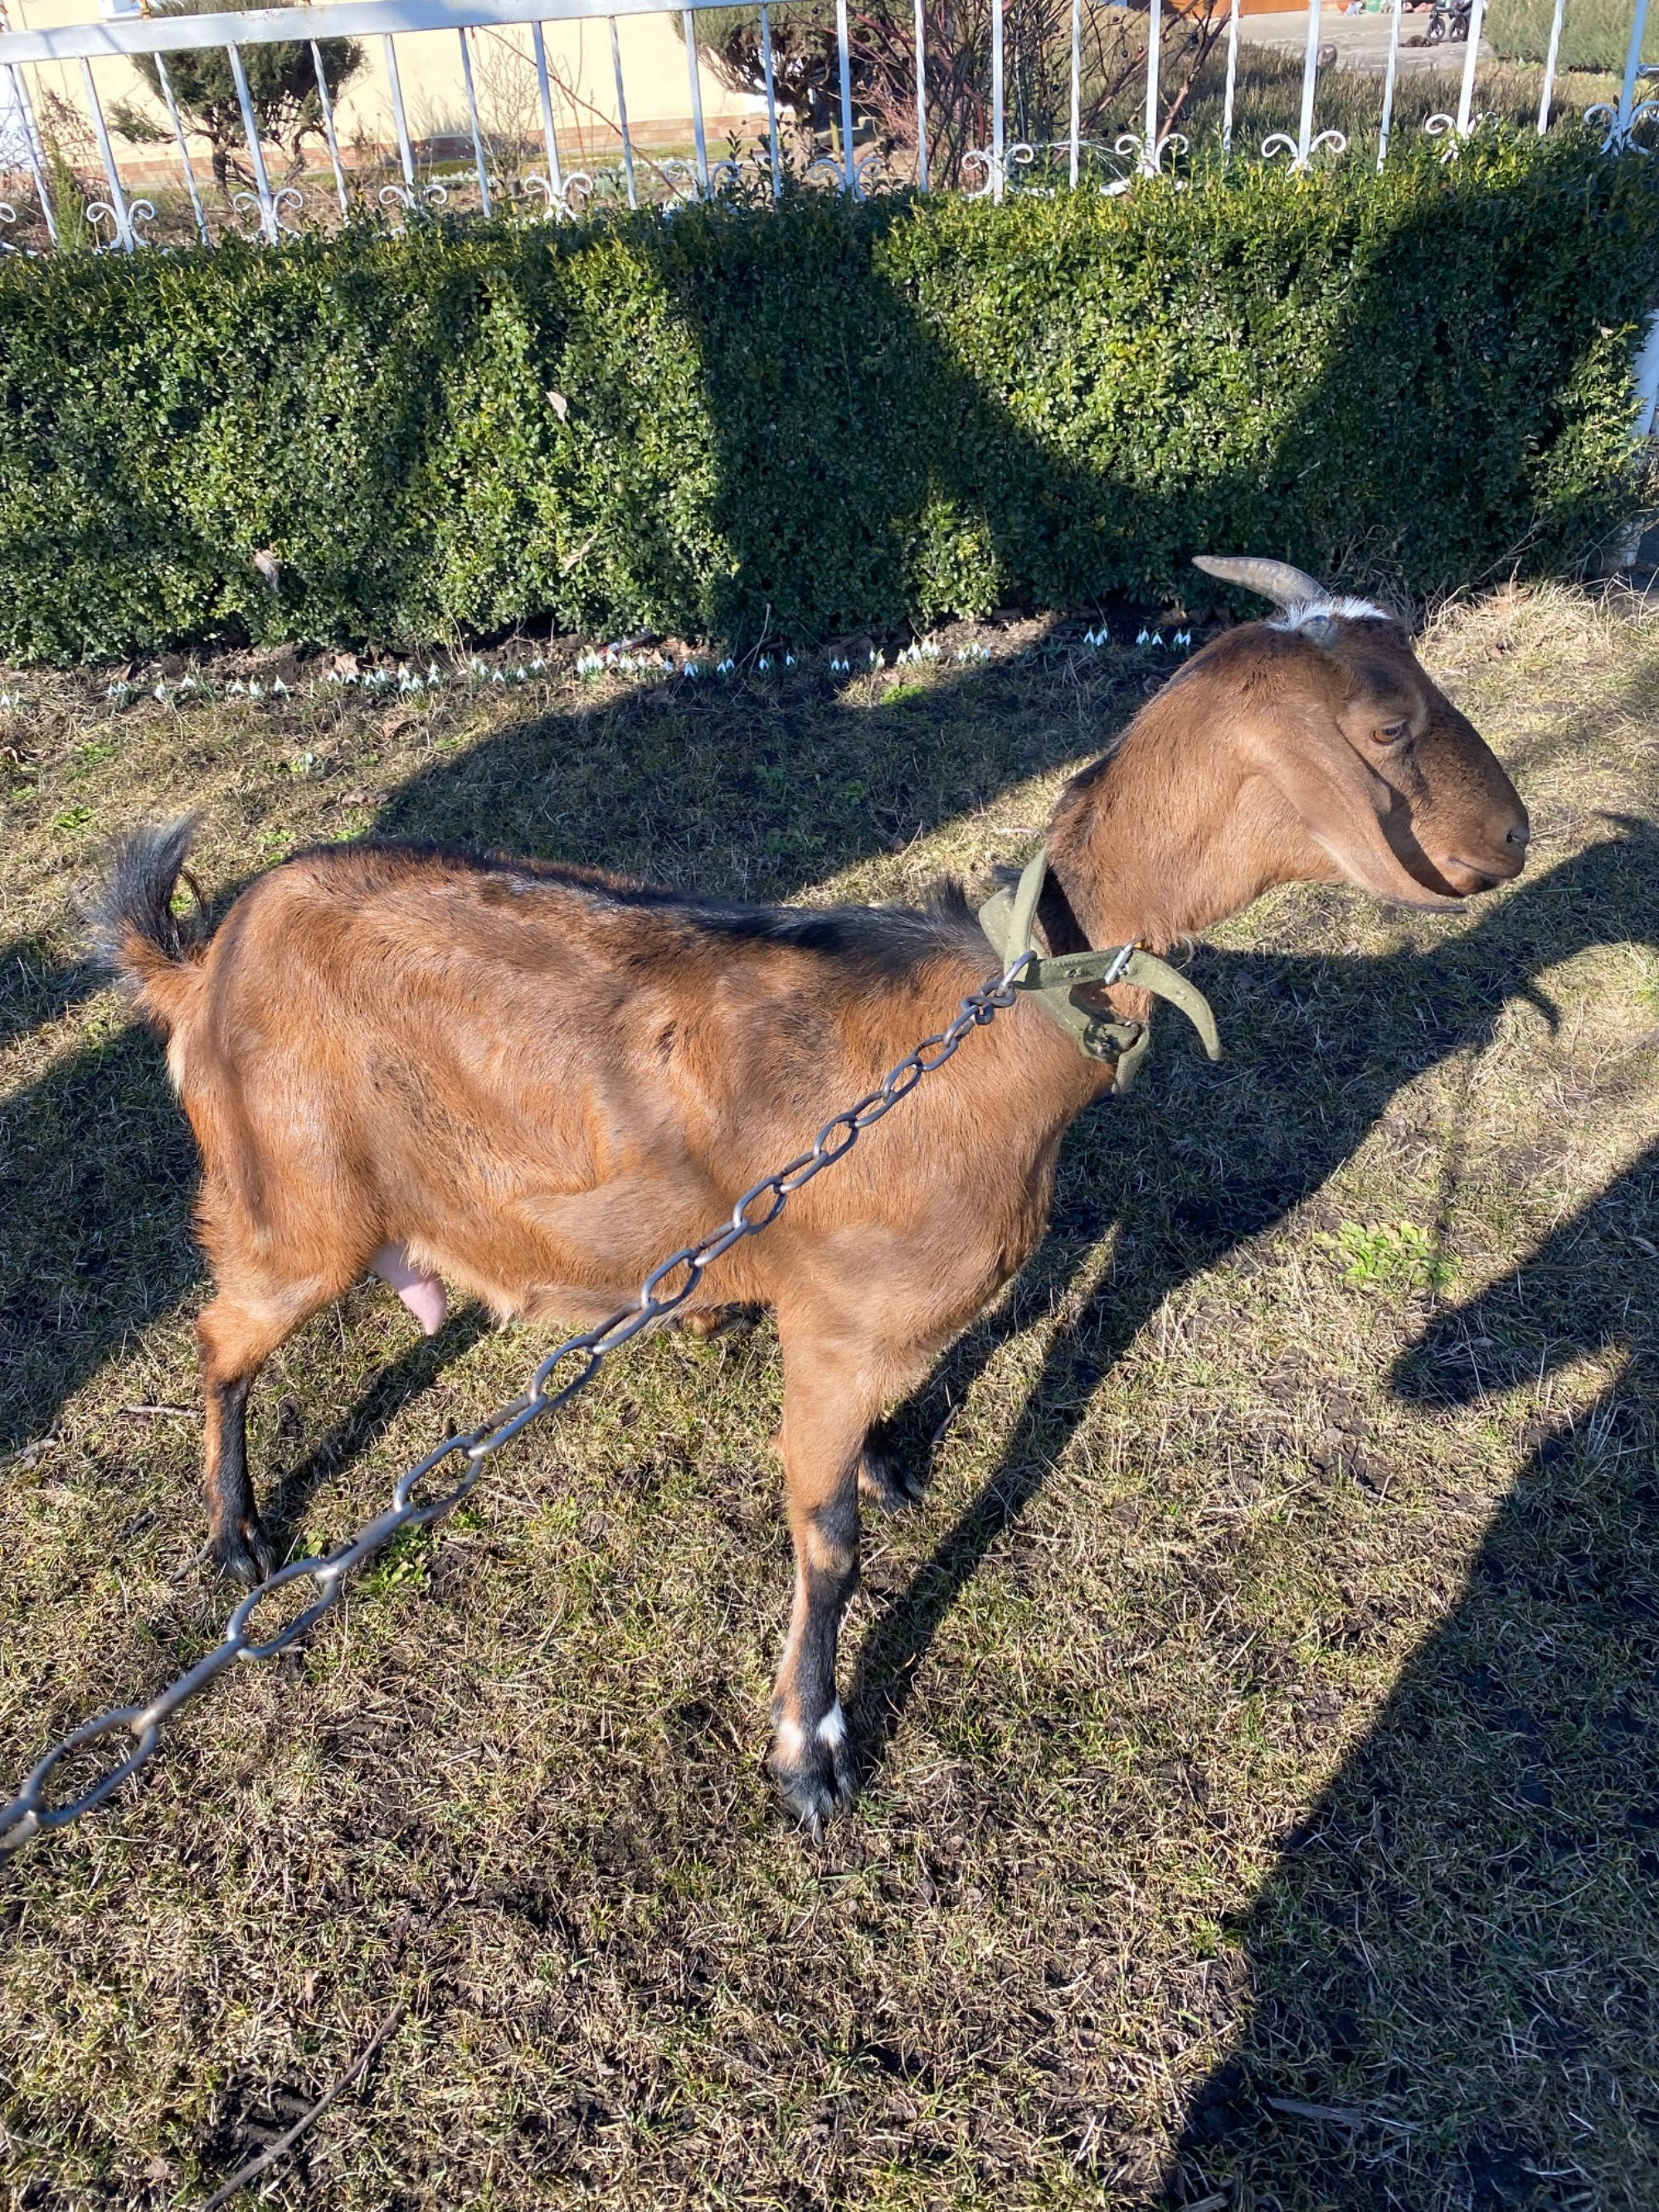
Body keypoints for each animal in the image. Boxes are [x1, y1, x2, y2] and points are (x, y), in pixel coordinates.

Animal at [94, 557, 1530, 1831]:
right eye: (1388, 726)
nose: (1513, 834)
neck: (988, 1030)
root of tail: (203, 960)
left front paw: (896, 1459)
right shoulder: (831, 1329)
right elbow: (827, 1540)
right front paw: (809, 1750)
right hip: (291, 1203)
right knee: (221, 1334)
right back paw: (237, 1538)